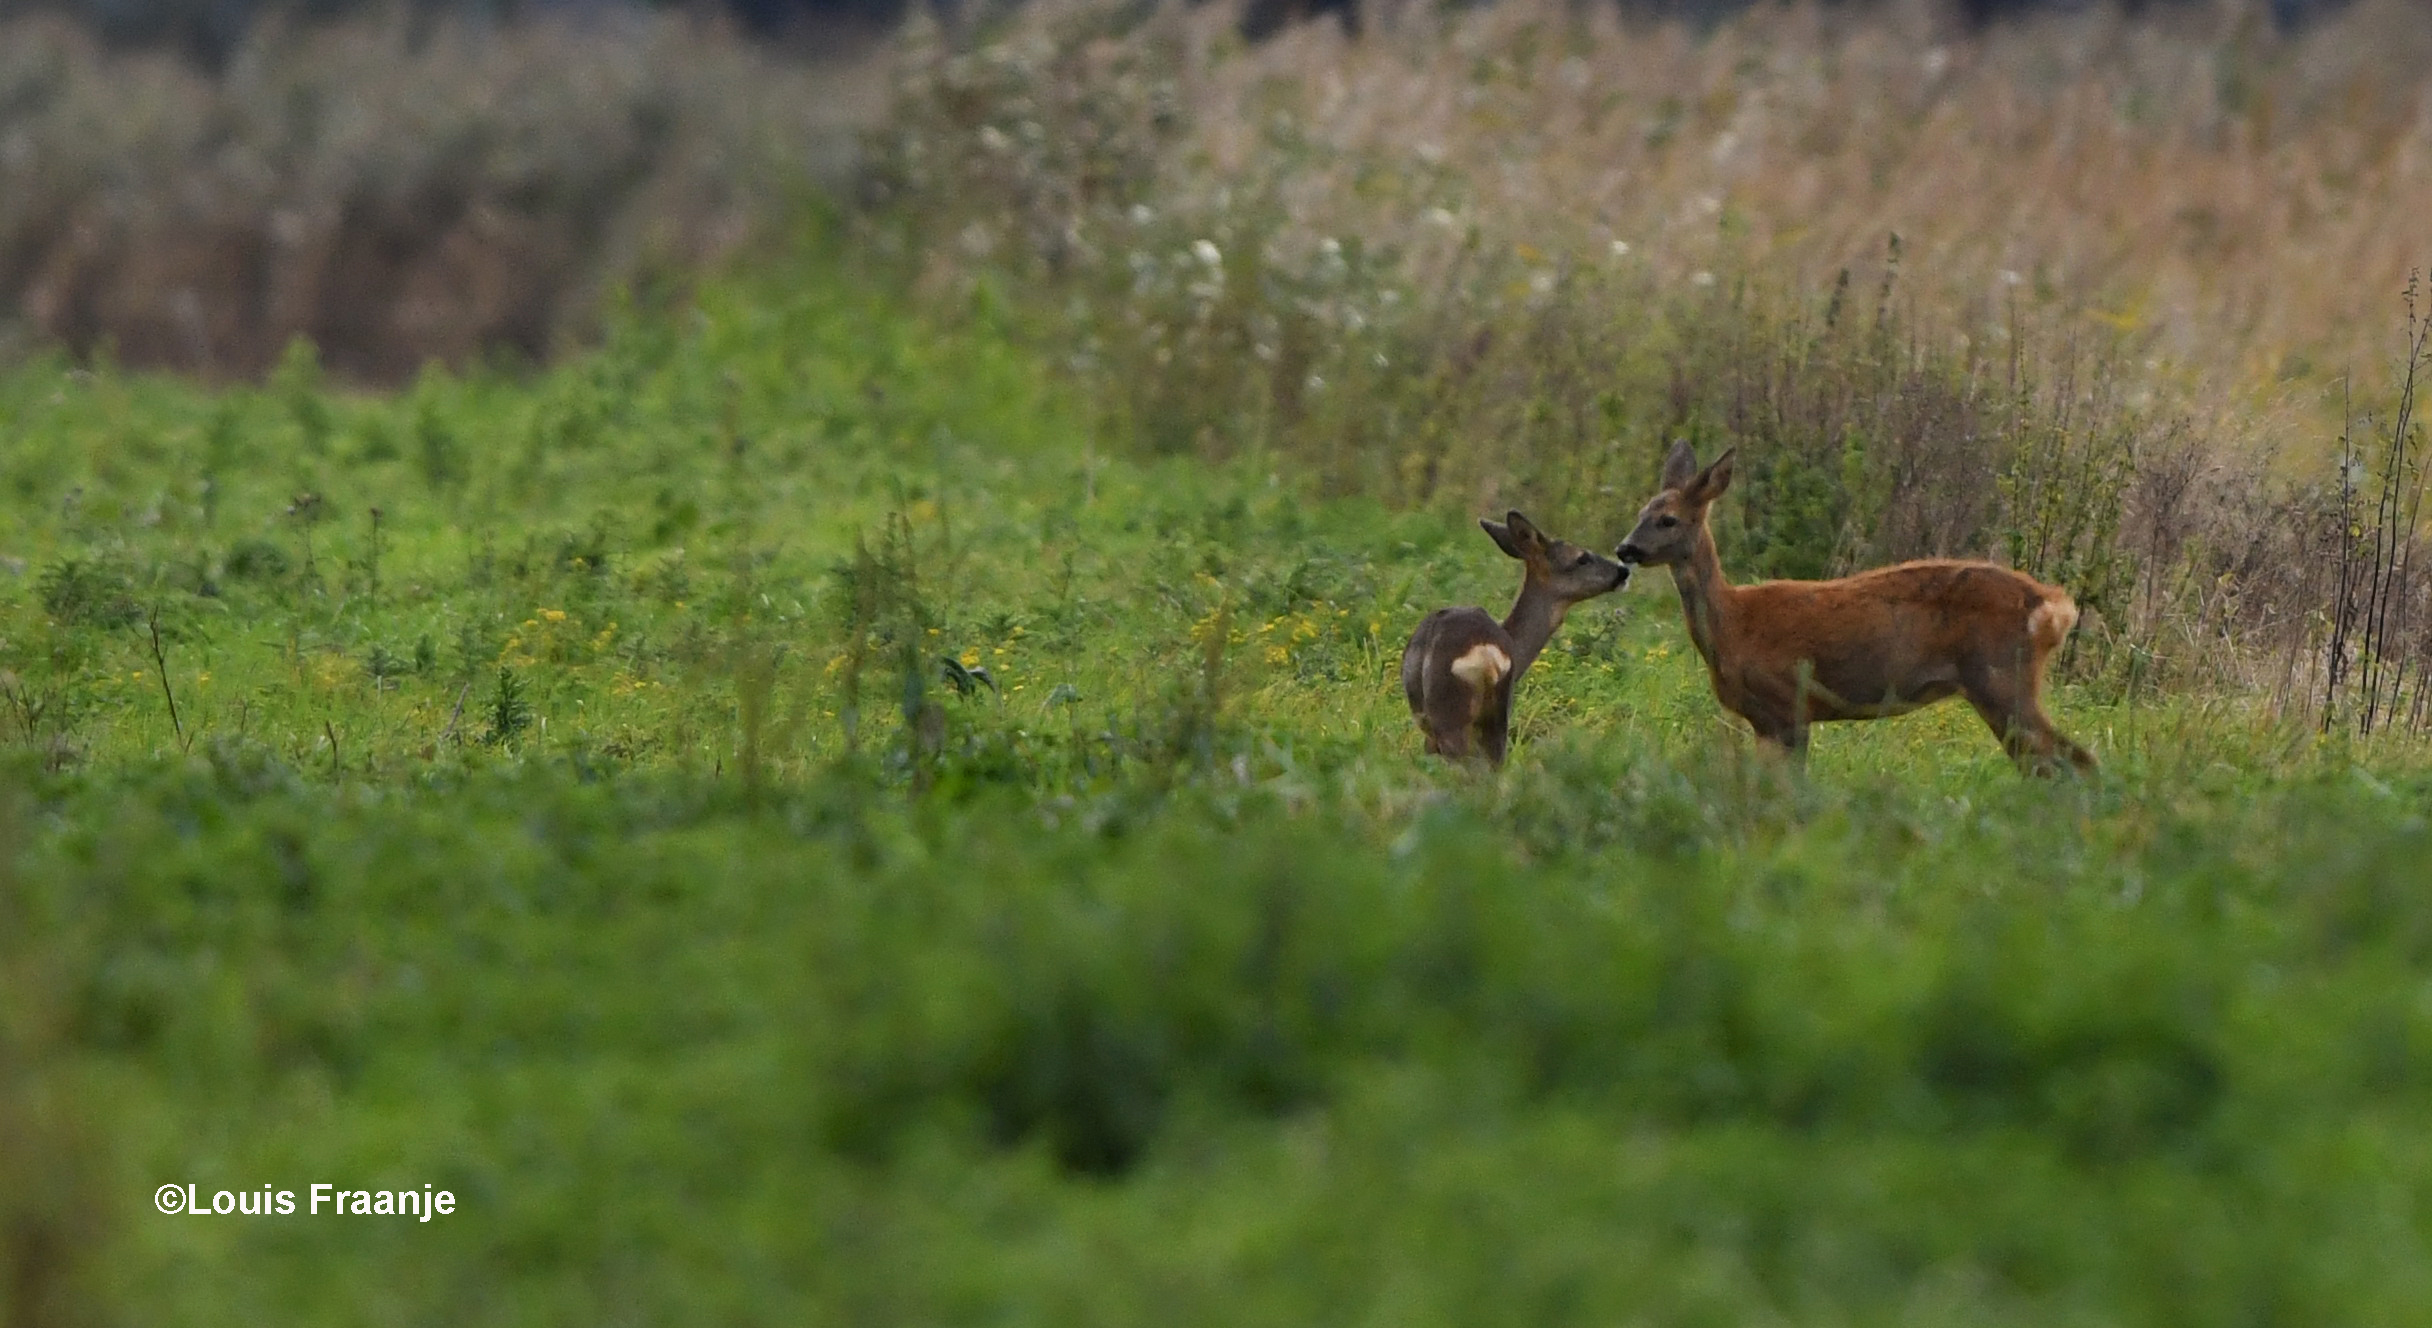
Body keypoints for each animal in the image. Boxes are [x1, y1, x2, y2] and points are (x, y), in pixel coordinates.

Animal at [1614, 442, 2091, 768]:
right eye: (1640, 513)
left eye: (1668, 520)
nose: (1625, 549)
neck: (1733, 624)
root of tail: (2055, 606)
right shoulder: (1764, 721)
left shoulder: (1789, 704)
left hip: (2001, 677)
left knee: (2073, 761)